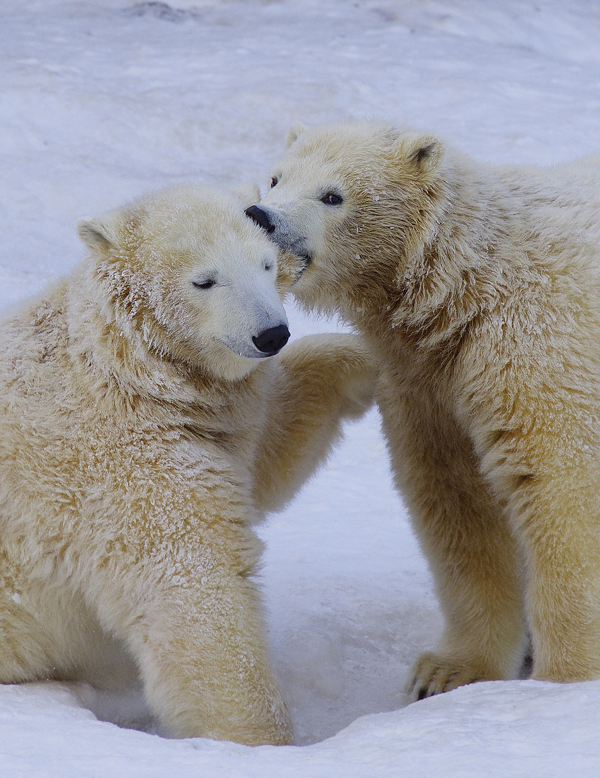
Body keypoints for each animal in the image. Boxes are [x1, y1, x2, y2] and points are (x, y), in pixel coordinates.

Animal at [0, 183, 376, 744]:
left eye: (265, 263)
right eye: (204, 280)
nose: (271, 334)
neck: (121, 366)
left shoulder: (203, 420)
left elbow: (266, 451)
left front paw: (369, 364)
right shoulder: (119, 461)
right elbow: (193, 588)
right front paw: (261, 740)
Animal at [246, 119, 600, 696]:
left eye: (332, 195)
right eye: (275, 178)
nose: (260, 216)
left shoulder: (536, 346)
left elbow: (558, 489)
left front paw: (565, 681)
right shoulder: (428, 383)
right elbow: (456, 501)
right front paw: (447, 672)